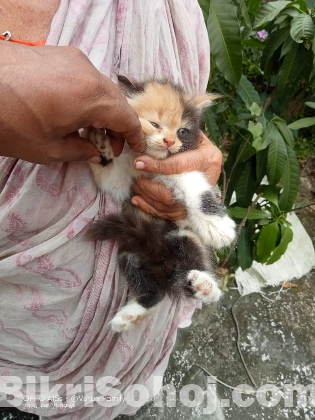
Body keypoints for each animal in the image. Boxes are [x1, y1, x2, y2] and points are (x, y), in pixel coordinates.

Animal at [82, 75, 236, 332]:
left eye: (182, 131)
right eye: (154, 124)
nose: (169, 141)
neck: (147, 160)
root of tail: (162, 262)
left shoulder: (182, 167)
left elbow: (196, 188)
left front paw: (217, 226)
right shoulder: (122, 183)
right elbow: (109, 174)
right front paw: (100, 143)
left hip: (184, 237)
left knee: (192, 271)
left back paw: (205, 286)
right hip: (131, 252)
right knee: (156, 292)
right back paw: (129, 316)